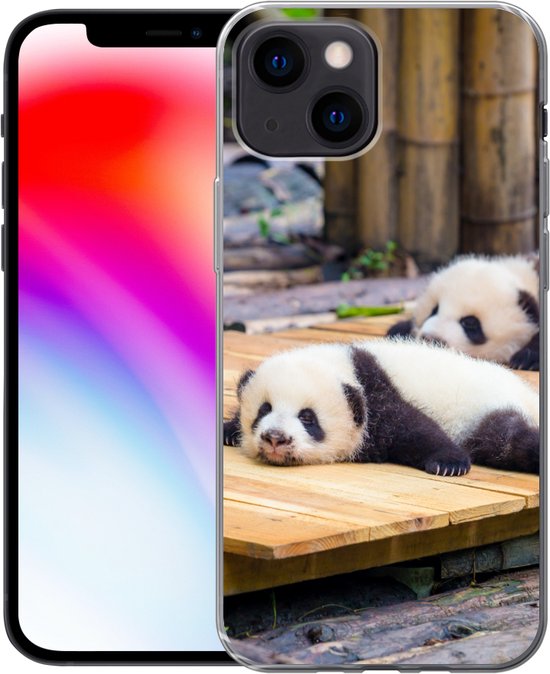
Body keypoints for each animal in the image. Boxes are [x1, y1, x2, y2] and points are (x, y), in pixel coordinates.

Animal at [223, 339, 539, 475]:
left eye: (307, 418)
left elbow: (416, 428)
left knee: (509, 439)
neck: (344, 365)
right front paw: (229, 431)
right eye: (264, 409)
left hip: (493, 409)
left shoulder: (378, 395)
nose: (275, 438)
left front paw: (449, 463)